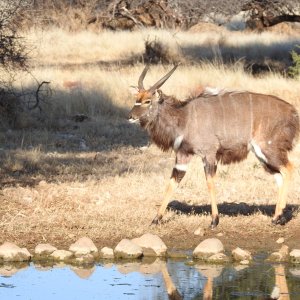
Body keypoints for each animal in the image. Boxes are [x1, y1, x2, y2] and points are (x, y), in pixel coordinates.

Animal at [127, 65, 298, 227]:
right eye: (136, 98)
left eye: (148, 101)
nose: (130, 117)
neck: (184, 117)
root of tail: (293, 113)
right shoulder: (183, 155)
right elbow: (173, 182)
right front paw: (156, 219)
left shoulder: (208, 154)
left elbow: (210, 182)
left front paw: (214, 220)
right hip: (262, 155)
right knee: (279, 175)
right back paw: (277, 217)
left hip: (268, 149)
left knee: (289, 169)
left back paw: (278, 217)